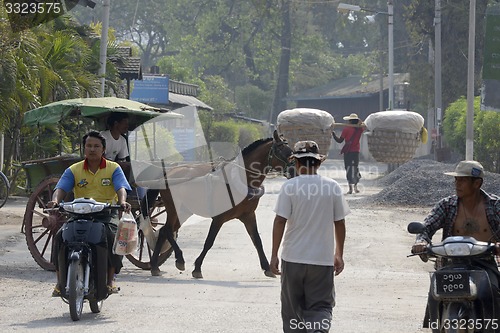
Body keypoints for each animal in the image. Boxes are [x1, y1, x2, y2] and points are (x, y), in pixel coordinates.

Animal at [150, 130, 294, 278]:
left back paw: (154, 265)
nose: (294, 170)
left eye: (291, 151)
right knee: (167, 230)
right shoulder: (219, 218)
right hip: (174, 208)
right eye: (282, 151)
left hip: (184, 211)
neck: (241, 179)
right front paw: (197, 267)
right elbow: (209, 242)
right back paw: (179, 258)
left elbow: (257, 240)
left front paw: (267, 267)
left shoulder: (248, 215)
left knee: (163, 231)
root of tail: (167, 173)